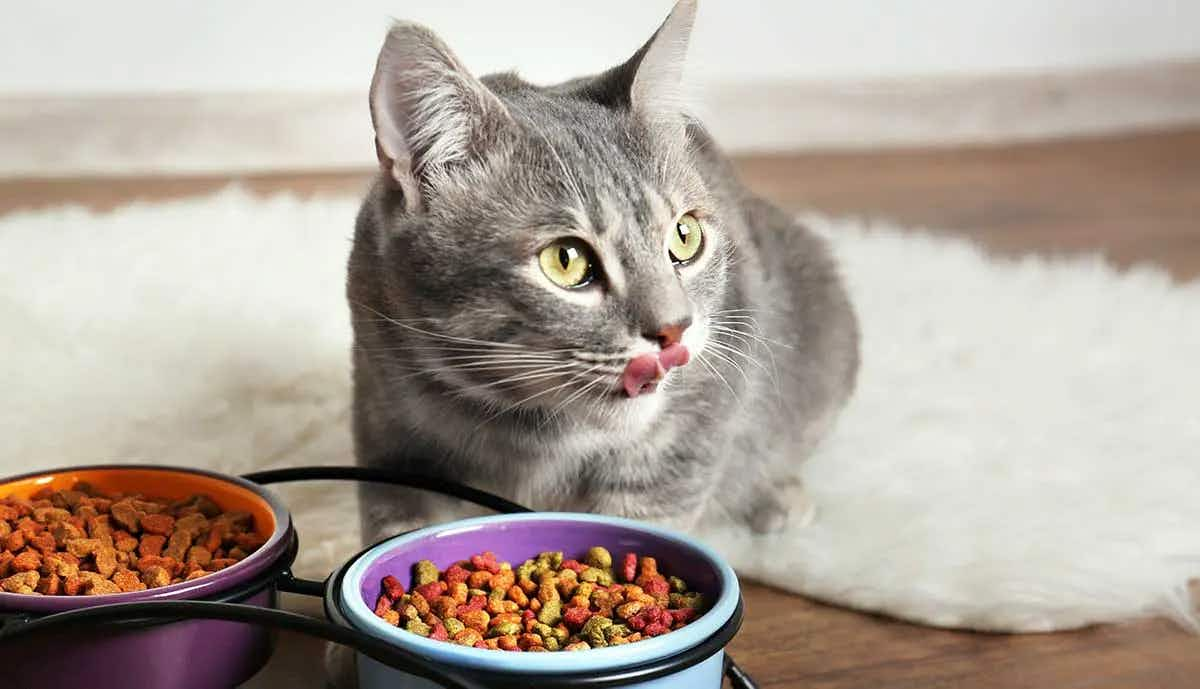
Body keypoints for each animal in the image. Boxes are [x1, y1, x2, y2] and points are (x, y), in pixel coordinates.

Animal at [343, 2, 859, 547]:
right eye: (565, 260)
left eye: (685, 236)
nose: (676, 328)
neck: (528, 433)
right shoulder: (391, 432)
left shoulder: (689, 428)